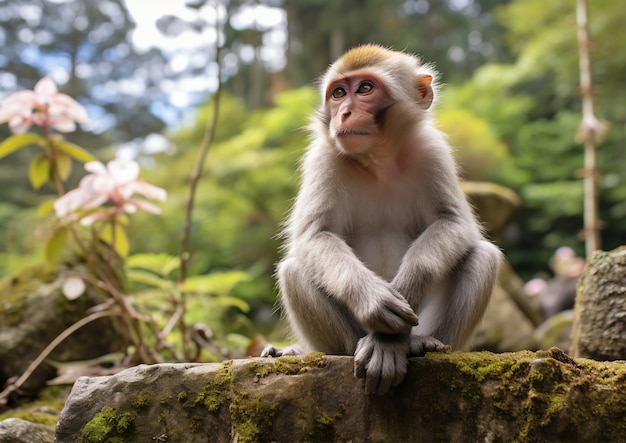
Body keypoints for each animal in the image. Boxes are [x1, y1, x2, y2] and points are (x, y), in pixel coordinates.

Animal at [260, 44, 500, 396]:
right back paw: (350, 347)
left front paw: (407, 288)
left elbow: (453, 222)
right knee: (294, 270)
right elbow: (315, 235)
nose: (344, 113)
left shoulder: (433, 151)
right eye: (338, 93)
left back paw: (422, 343)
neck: (379, 161)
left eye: (365, 89)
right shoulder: (322, 158)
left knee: (484, 255)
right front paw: (374, 301)